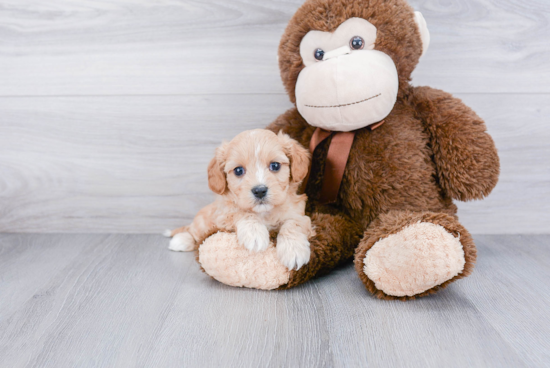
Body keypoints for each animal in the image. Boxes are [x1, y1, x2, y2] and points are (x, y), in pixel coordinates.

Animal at [166, 129, 314, 270]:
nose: (259, 191)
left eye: (275, 166)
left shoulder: (300, 215)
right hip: (202, 222)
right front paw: (255, 233)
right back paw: (181, 240)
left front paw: (293, 250)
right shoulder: (223, 215)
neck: (263, 213)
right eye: (238, 170)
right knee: (193, 231)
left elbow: (293, 224)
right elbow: (241, 212)